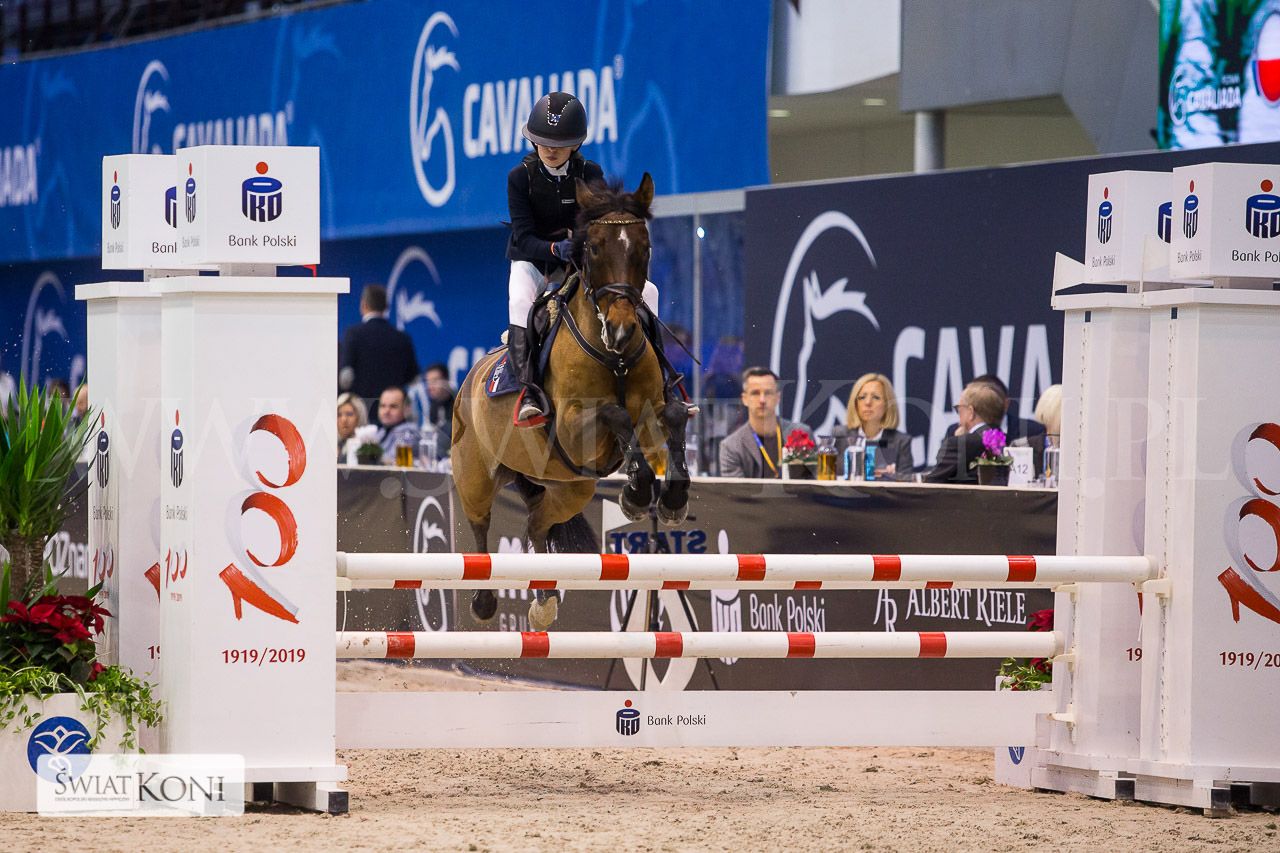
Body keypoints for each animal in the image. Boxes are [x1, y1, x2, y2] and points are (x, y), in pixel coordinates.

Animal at [450, 173, 692, 630]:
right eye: (593, 247)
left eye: (645, 247)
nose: (621, 330)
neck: (613, 356)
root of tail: (468, 378)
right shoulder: (572, 429)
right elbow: (615, 413)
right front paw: (637, 495)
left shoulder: (652, 410)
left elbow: (670, 415)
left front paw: (669, 500)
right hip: (475, 475)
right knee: (479, 526)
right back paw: (484, 602)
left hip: (571, 489)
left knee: (537, 523)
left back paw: (544, 601)